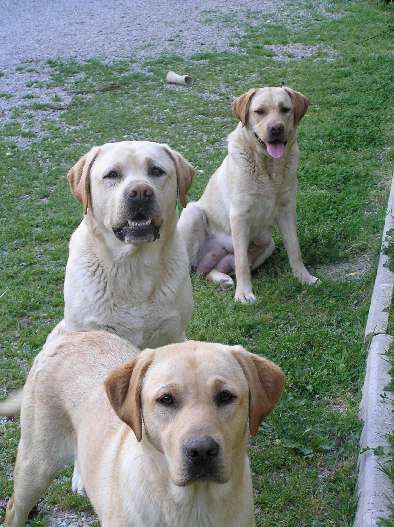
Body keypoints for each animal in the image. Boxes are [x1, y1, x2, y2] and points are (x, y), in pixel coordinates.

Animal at [0, 334, 284, 527]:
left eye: (225, 396)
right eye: (166, 399)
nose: (201, 451)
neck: (192, 505)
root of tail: (72, 334)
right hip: (36, 465)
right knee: (14, 509)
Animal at [177, 84, 318, 304]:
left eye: (285, 109)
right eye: (259, 111)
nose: (276, 128)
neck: (268, 169)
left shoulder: (287, 210)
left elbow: (295, 249)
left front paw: (304, 277)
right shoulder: (239, 215)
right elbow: (242, 261)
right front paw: (244, 293)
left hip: (268, 245)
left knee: (206, 271)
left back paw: (222, 279)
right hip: (193, 212)